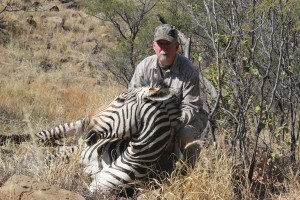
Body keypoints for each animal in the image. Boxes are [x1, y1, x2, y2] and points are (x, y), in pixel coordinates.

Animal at [0, 86, 180, 193]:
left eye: (120, 100)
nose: (89, 121)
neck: (131, 156)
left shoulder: (98, 186)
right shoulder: (77, 153)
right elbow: (44, 158)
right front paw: (20, 164)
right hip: (72, 128)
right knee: (41, 136)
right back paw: (6, 141)